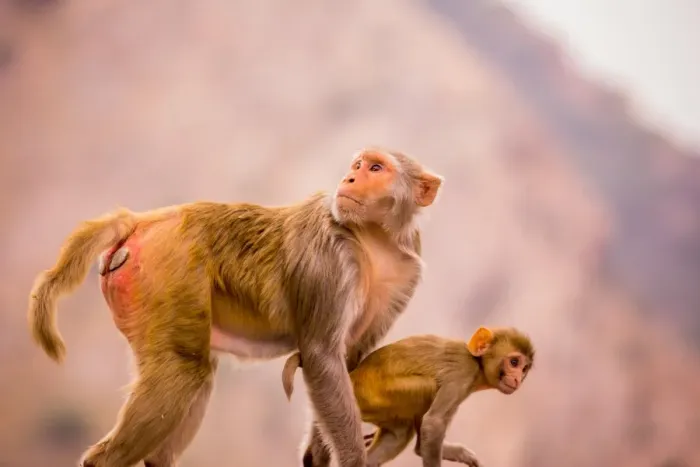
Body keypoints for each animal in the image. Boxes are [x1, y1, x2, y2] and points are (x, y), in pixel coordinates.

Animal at [27, 147, 443, 467]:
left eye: (376, 168)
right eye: (358, 164)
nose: (350, 179)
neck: (372, 239)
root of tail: (146, 219)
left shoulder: (405, 273)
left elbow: (348, 360)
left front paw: (317, 455)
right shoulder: (330, 261)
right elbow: (323, 356)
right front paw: (353, 459)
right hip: (168, 269)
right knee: (183, 370)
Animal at [282, 326, 535, 467]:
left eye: (524, 369)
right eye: (514, 362)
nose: (518, 379)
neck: (477, 363)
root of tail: (352, 376)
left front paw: (458, 453)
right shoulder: (463, 375)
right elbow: (433, 423)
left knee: (399, 432)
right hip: (373, 394)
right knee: (426, 388)